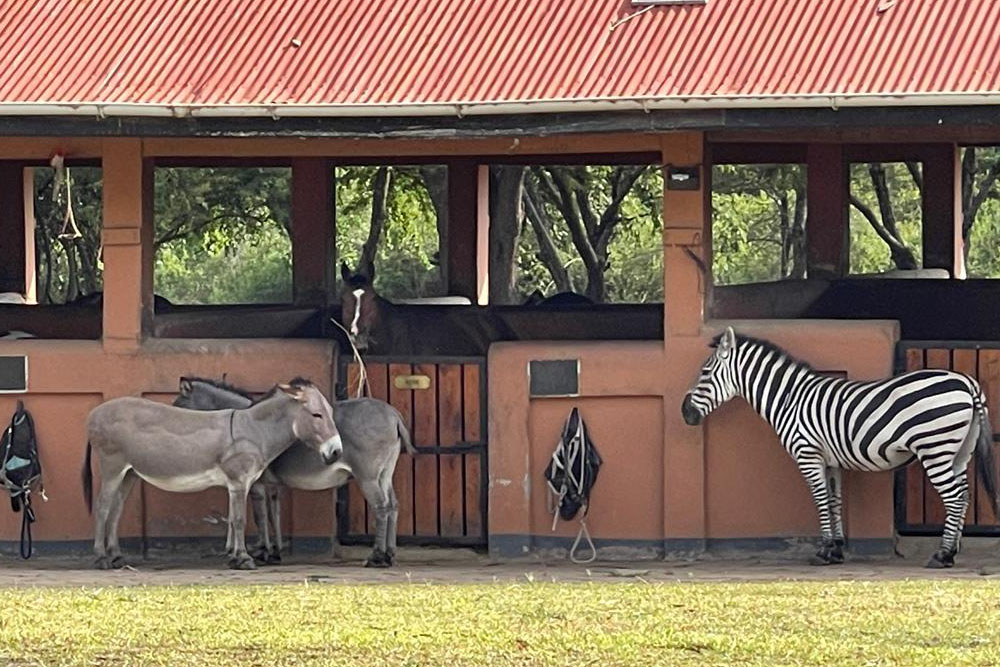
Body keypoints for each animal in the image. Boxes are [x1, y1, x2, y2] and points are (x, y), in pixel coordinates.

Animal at [680, 328, 1000, 568]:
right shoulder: (829, 460)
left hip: (935, 448)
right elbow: (834, 501)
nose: (685, 413)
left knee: (955, 498)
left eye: (705, 373)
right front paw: (835, 549)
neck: (789, 399)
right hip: (958, 452)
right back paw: (952, 551)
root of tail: (967, 381)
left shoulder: (808, 454)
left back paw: (942, 555)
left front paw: (823, 552)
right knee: (965, 495)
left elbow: (820, 499)